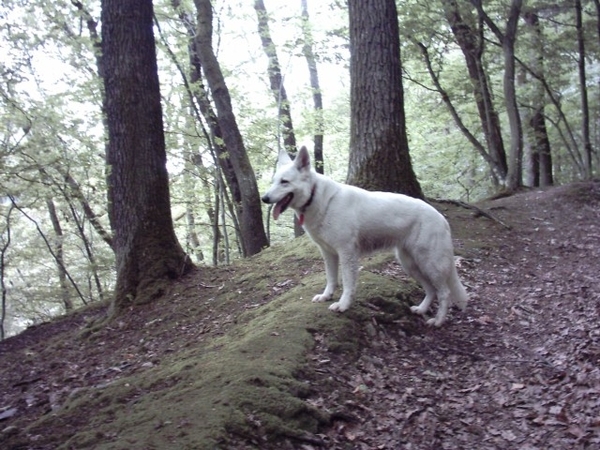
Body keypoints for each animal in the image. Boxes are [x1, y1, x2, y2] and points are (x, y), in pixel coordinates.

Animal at [262, 146, 468, 326]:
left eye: (284, 182)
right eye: (273, 181)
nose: (264, 198)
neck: (316, 197)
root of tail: (441, 218)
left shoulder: (347, 254)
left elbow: (347, 284)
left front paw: (343, 305)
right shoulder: (329, 254)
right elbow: (331, 279)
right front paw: (326, 296)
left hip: (429, 264)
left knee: (444, 293)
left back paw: (438, 321)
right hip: (410, 264)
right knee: (431, 290)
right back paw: (422, 309)